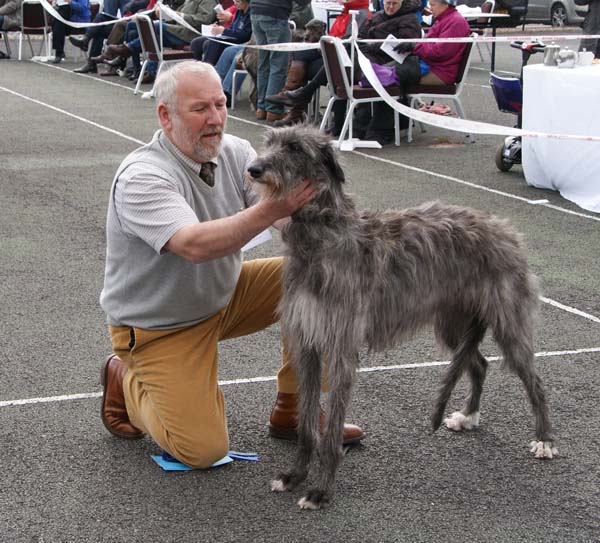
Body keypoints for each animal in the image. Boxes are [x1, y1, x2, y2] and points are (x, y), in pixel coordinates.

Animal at [246, 125, 556, 512]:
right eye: (269, 142)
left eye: (294, 147)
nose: (254, 169)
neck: (322, 238)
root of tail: (504, 228)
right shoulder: (308, 343)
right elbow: (306, 424)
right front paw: (293, 476)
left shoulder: (341, 345)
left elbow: (330, 429)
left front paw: (320, 490)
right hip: (453, 322)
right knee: (479, 363)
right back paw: (468, 415)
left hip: (508, 319)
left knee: (533, 379)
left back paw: (544, 439)